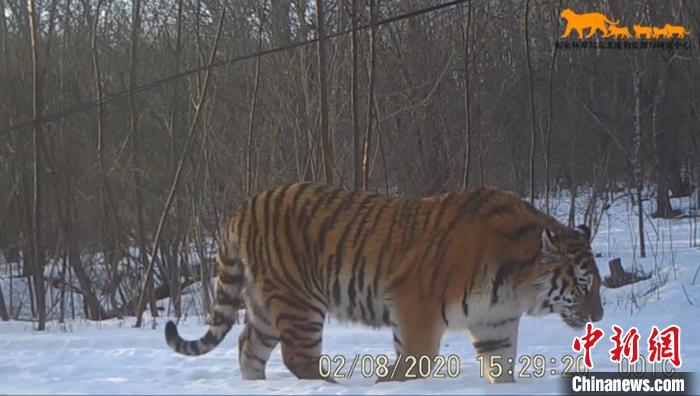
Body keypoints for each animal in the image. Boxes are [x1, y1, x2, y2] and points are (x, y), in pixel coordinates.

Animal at [164, 183, 600, 384]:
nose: (598, 316)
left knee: (248, 346)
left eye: (596, 285)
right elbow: (416, 359)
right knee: (298, 358)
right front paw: (387, 383)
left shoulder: (495, 322)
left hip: (265, 305)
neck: (516, 285)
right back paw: (334, 385)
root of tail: (244, 206)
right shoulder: (416, 304)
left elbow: (500, 366)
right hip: (299, 302)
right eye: (582, 285)